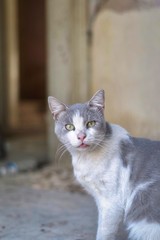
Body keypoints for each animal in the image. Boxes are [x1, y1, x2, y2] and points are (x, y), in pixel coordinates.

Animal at [48, 90, 160, 240]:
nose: (81, 136)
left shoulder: (112, 201)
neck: (86, 158)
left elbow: (104, 231)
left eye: (90, 123)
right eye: (69, 126)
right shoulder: (101, 199)